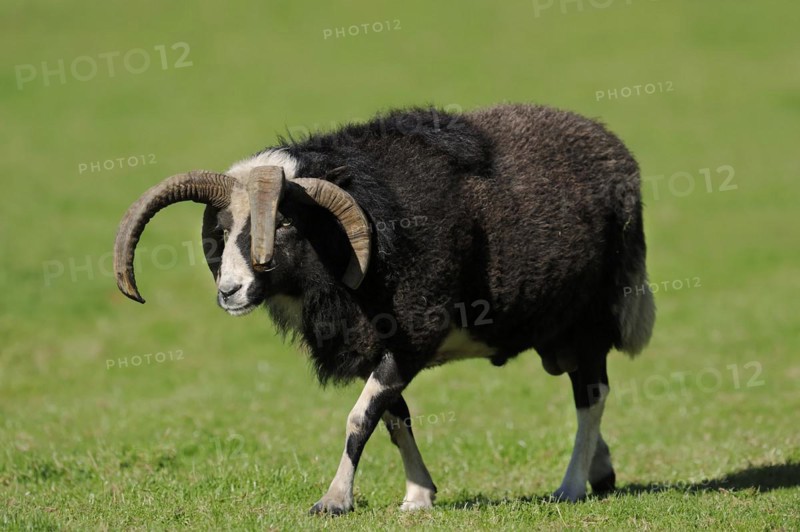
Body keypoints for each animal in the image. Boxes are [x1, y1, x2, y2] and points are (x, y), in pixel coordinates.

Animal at [113, 103, 655, 514]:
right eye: (222, 230)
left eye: (284, 223)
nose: (230, 291)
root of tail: (617, 152)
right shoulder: (376, 346)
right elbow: (394, 419)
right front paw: (418, 496)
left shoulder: (410, 338)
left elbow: (360, 419)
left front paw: (334, 501)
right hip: (557, 335)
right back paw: (601, 471)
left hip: (592, 319)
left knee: (591, 397)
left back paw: (571, 486)